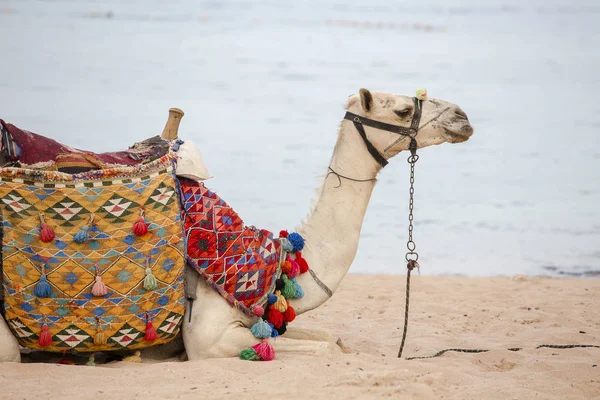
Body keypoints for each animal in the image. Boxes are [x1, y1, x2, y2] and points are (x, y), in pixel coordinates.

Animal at [0, 88, 472, 362]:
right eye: (404, 108)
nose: (462, 118)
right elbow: (322, 347)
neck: (277, 262)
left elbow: (334, 340)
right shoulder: (206, 336)